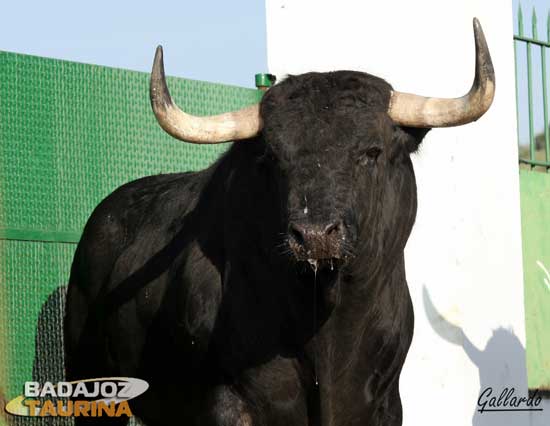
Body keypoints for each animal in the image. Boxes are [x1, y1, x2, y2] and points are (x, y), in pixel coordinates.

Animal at [63, 21, 496, 426]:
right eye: (272, 156)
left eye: (372, 151)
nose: (315, 235)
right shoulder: (227, 400)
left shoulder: (386, 403)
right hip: (89, 385)